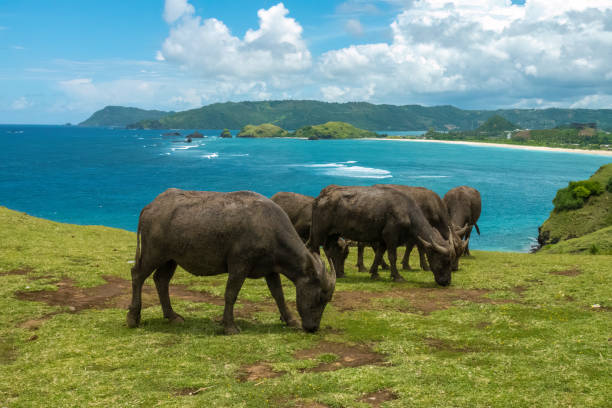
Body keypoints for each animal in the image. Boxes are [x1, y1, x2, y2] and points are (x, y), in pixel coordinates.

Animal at [128, 188, 334, 334]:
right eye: (319, 297)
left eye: (327, 300)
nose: (313, 328)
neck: (269, 228)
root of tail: (150, 206)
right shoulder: (239, 265)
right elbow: (231, 294)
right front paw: (229, 326)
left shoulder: (270, 269)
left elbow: (279, 295)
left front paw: (291, 320)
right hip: (153, 254)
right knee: (137, 275)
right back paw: (132, 318)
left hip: (170, 259)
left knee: (161, 280)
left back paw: (172, 316)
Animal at [308, 186, 456, 286]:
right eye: (445, 261)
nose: (447, 281)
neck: (406, 212)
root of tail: (319, 199)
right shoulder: (391, 236)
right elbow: (392, 256)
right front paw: (397, 276)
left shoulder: (384, 239)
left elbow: (379, 254)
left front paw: (374, 273)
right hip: (319, 232)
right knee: (313, 247)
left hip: (334, 234)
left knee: (331, 250)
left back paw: (338, 274)